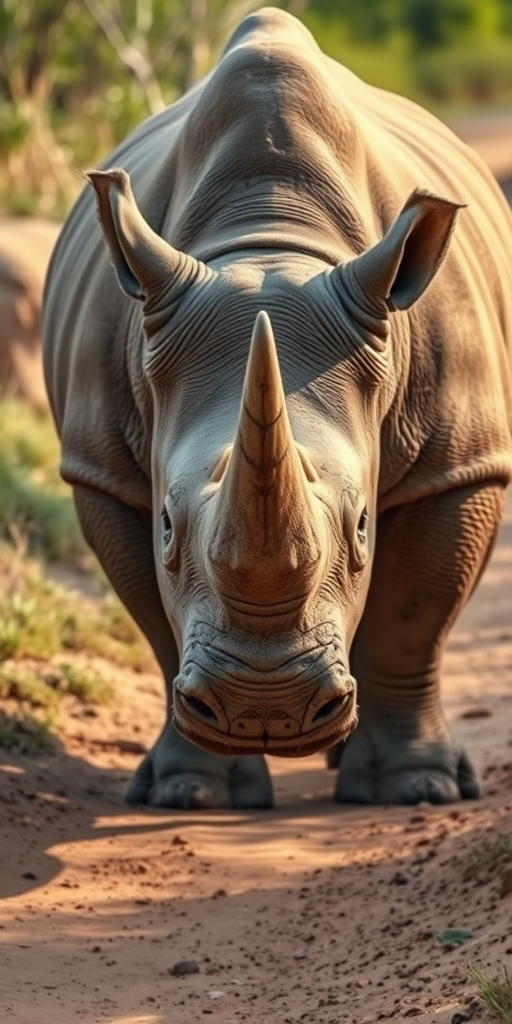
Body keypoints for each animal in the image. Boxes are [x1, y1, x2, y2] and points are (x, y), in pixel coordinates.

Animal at [43, 8, 512, 811]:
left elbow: (415, 614)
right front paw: (193, 794)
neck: (270, 242)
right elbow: (157, 622)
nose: (264, 708)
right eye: (167, 524)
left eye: (361, 526)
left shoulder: (459, 460)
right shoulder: (105, 469)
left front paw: (415, 791)